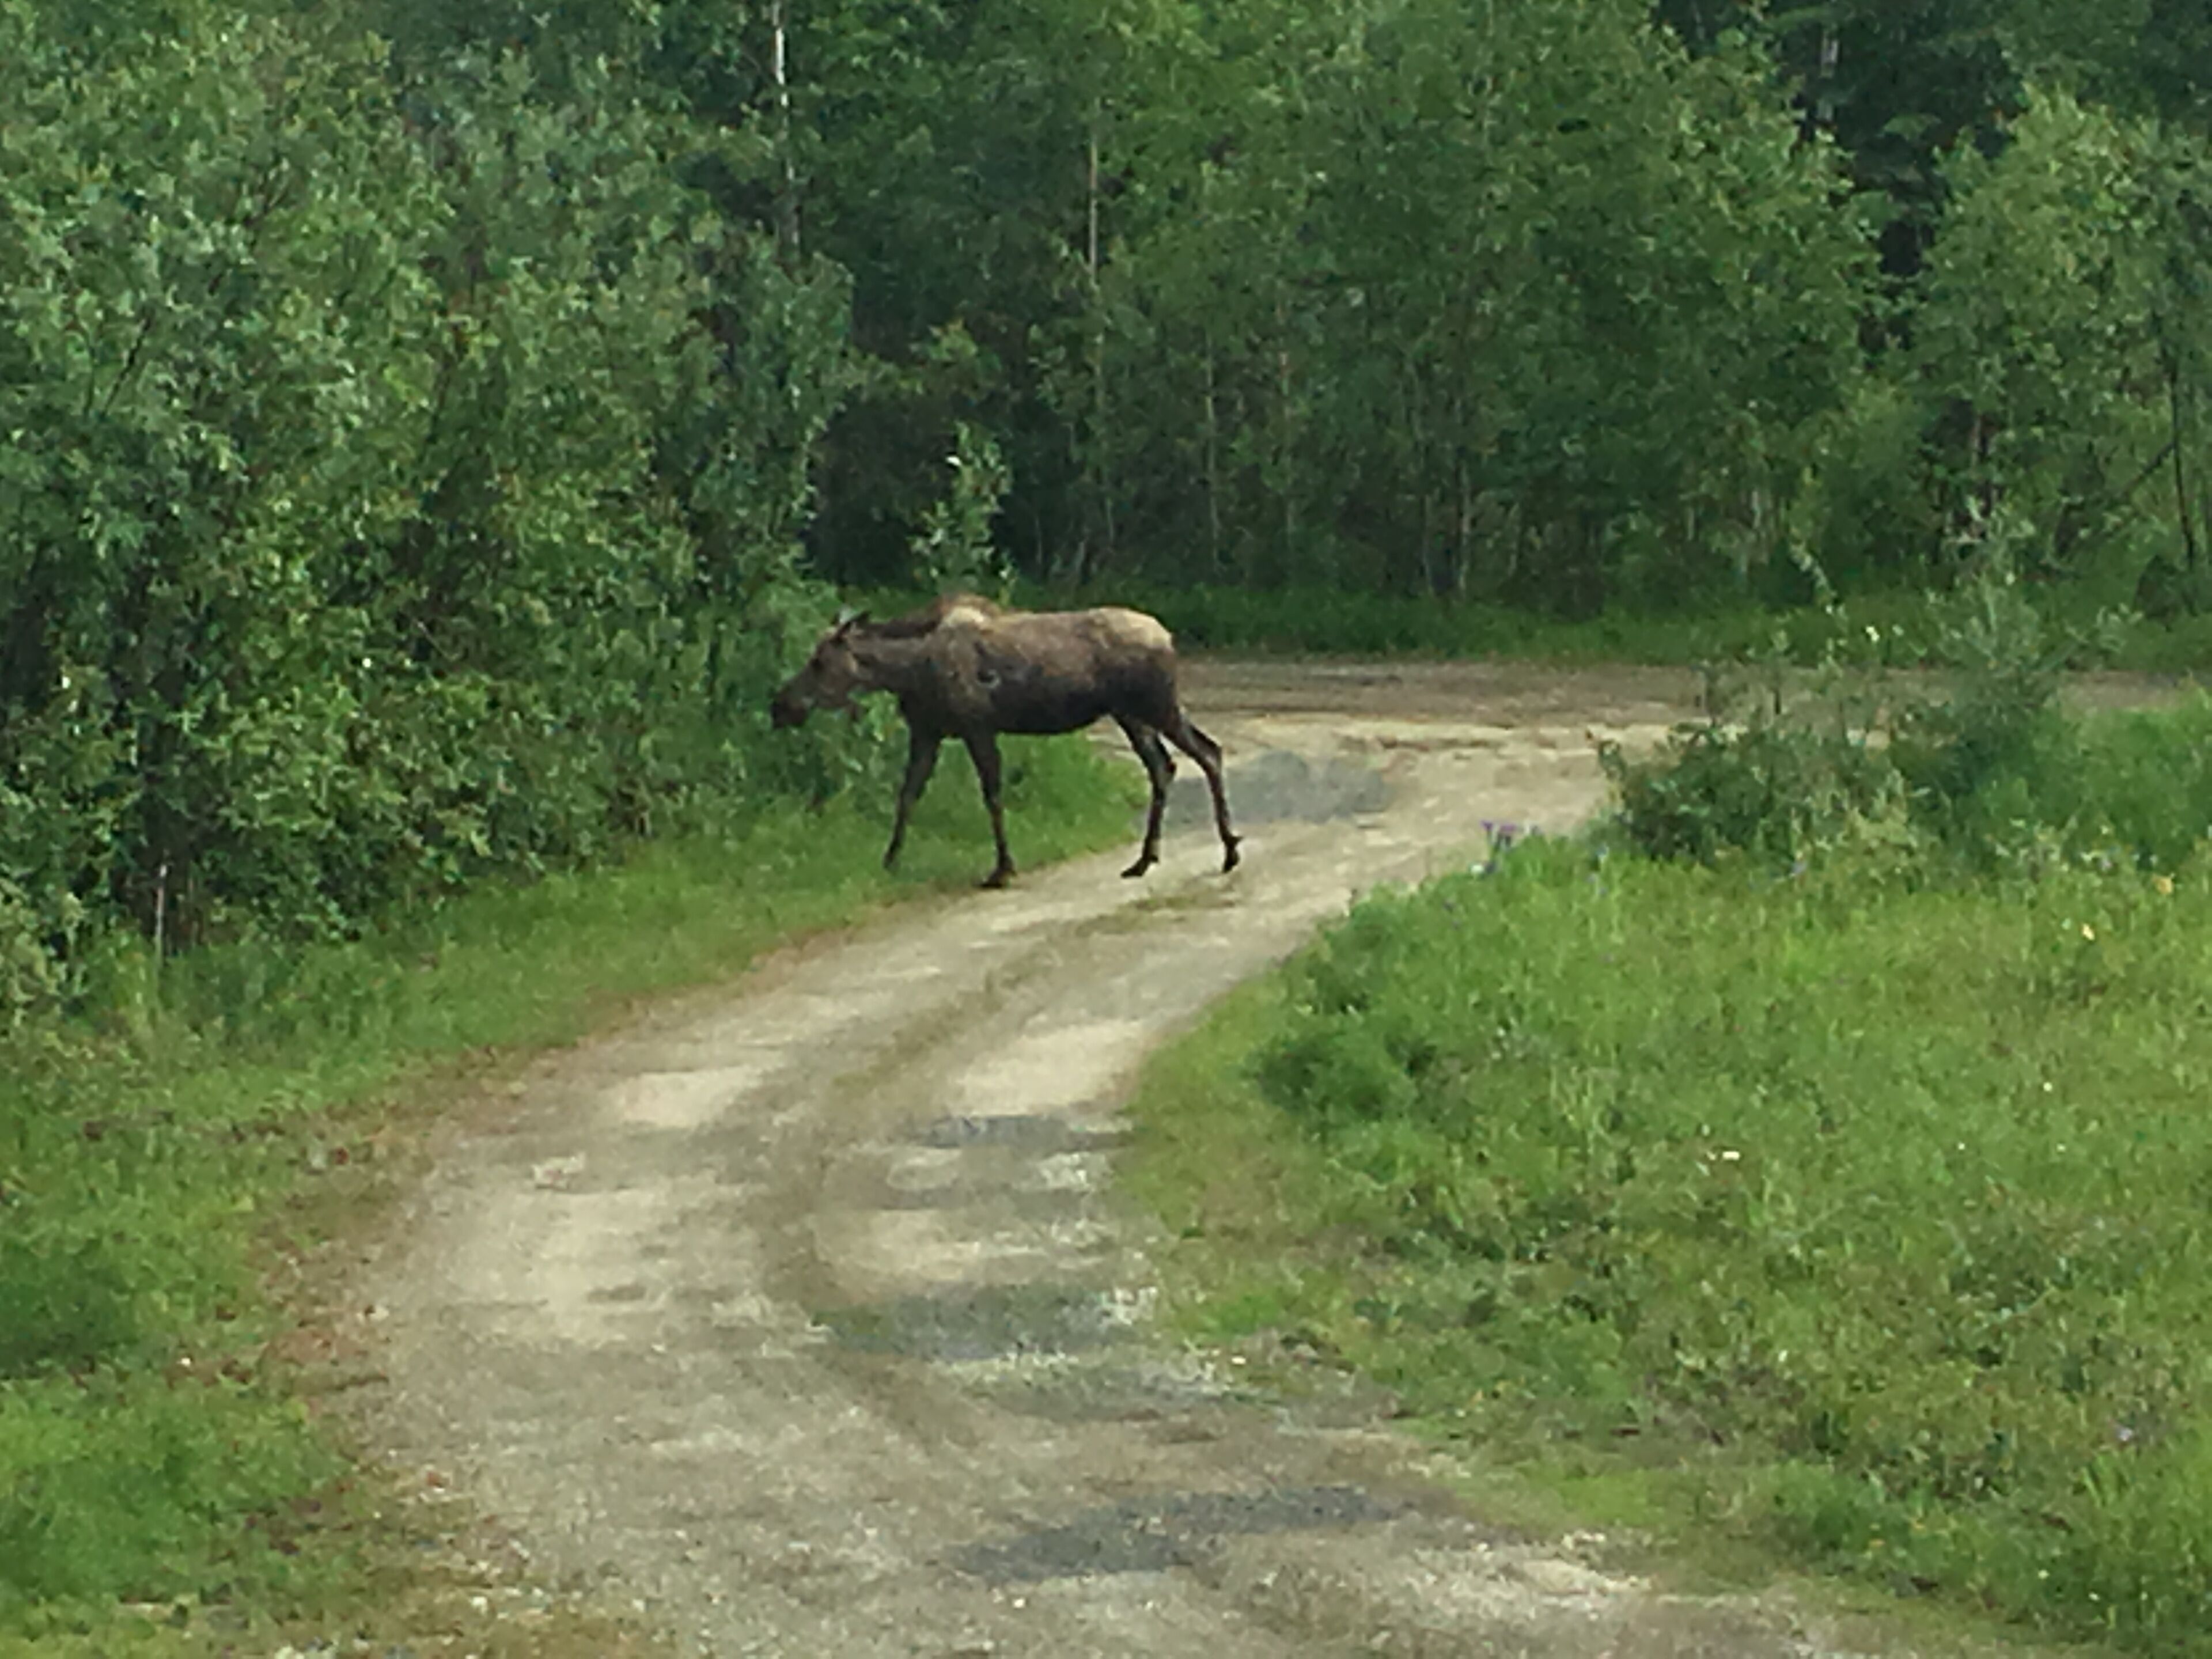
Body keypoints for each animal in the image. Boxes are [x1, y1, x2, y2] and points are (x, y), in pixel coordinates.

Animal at [769, 596, 1239, 889]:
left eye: (819, 661)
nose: (780, 705)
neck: (908, 671)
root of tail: (1169, 637)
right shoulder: (928, 733)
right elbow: (907, 796)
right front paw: (889, 862)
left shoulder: (978, 728)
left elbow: (992, 795)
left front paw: (1003, 869)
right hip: (1133, 716)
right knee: (1167, 764)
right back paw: (1146, 859)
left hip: (1156, 707)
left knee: (1207, 753)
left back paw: (1230, 850)